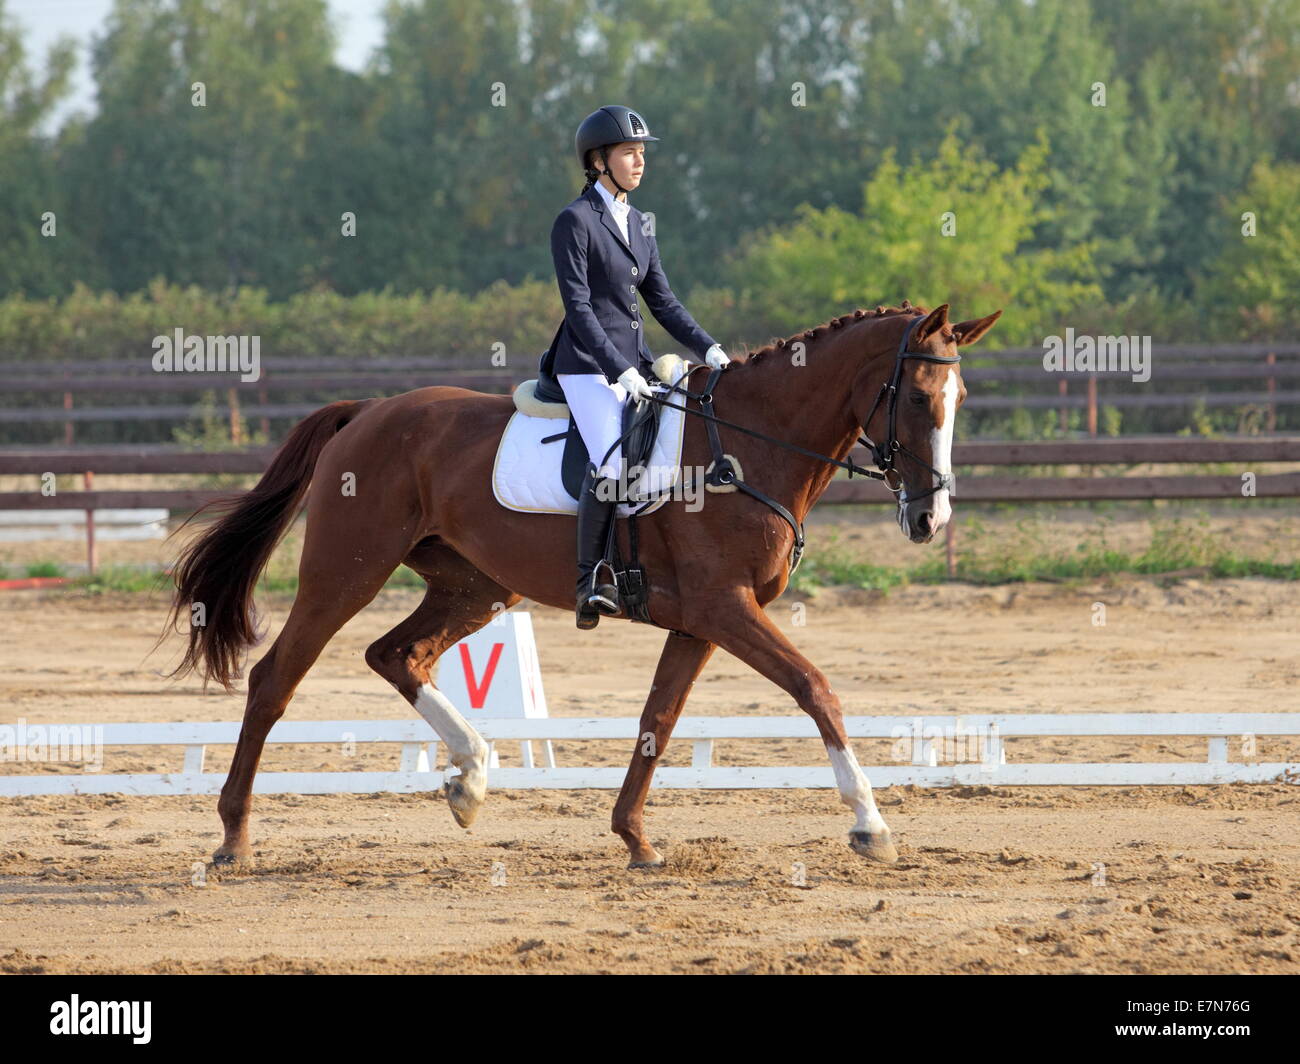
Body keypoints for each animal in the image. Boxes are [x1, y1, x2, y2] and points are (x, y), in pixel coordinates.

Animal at [162, 300, 1001, 869]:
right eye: (917, 397)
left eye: (958, 402)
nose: (929, 518)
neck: (748, 446)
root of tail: (367, 410)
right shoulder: (725, 609)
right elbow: (815, 688)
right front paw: (870, 825)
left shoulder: (700, 620)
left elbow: (658, 720)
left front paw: (635, 839)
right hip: (345, 572)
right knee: (276, 679)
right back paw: (234, 837)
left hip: (474, 588)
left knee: (396, 655)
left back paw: (471, 779)